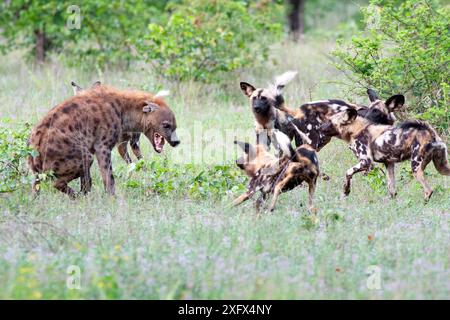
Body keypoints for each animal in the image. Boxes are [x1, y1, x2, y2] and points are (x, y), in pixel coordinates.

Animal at [27, 83, 179, 198]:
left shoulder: (92, 146)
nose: (176, 142)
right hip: (79, 156)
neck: (124, 111)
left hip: (39, 171)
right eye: (166, 125)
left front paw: (88, 194)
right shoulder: (102, 147)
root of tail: (34, 151)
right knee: (56, 182)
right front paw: (112, 198)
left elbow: (87, 180)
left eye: (174, 126)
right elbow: (109, 176)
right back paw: (76, 197)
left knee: (37, 185)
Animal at [320, 105, 450, 200]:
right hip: (442, 168)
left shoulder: (366, 162)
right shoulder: (389, 164)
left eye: (330, 121)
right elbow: (392, 190)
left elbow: (348, 173)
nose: (319, 128)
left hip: (416, 168)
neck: (356, 130)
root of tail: (429, 131)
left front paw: (346, 191)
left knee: (428, 191)